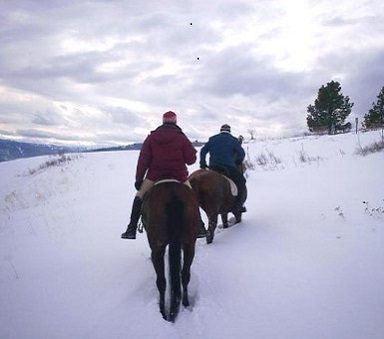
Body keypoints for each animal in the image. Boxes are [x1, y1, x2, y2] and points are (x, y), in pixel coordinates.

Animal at [142, 182, 201, 322]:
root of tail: (173, 195)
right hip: (190, 244)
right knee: (185, 275)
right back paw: (185, 303)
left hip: (157, 249)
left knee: (161, 282)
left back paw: (163, 312)